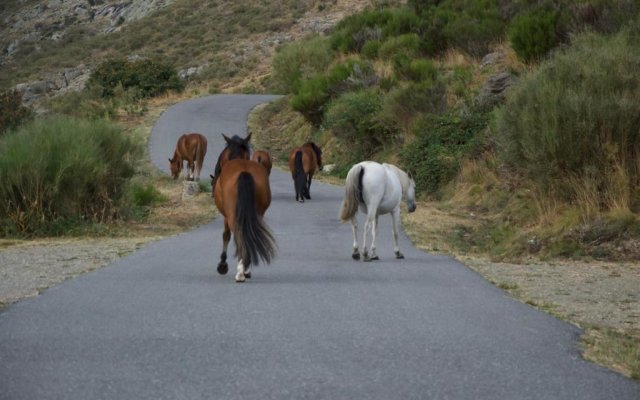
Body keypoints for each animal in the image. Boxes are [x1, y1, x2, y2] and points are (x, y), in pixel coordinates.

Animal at [210, 134, 272, 282]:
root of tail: (244, 171)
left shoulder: (226, 216)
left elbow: (226, 235)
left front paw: (222, 265)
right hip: (257, 213)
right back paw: (246, 268)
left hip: (233, 215)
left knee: (239, 235)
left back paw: (240, 272)